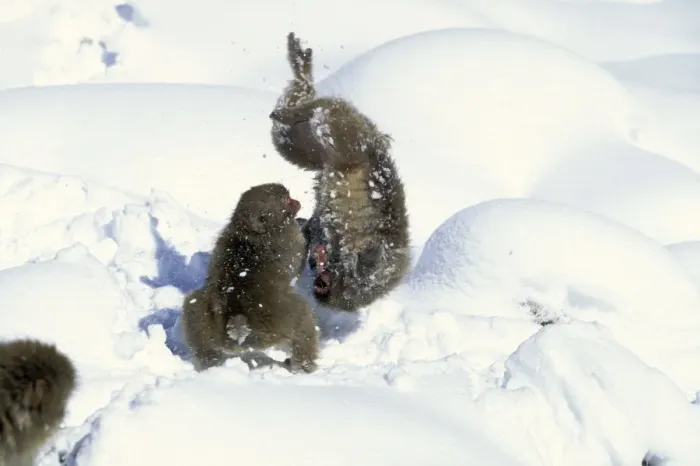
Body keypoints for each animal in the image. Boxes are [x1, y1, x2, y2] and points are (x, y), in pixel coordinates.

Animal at [180, 183, 319, 374]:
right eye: (286, 199)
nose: (297, 202)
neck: (249, 230)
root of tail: (237, 320)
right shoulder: (289, 239)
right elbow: (298, 263)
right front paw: (306, 225)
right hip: (277, 322)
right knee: (302, 314)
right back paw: (304, 365)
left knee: (193, 303)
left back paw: (210, 362)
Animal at [270, 32, 411, 312]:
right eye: (353, 281)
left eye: (348, 296)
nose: (322, 288)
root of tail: (373, 142)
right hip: (347, 138)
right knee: (328, 108)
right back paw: (297, 98)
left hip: (322, 148)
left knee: (290, 138)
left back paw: (299, 78)